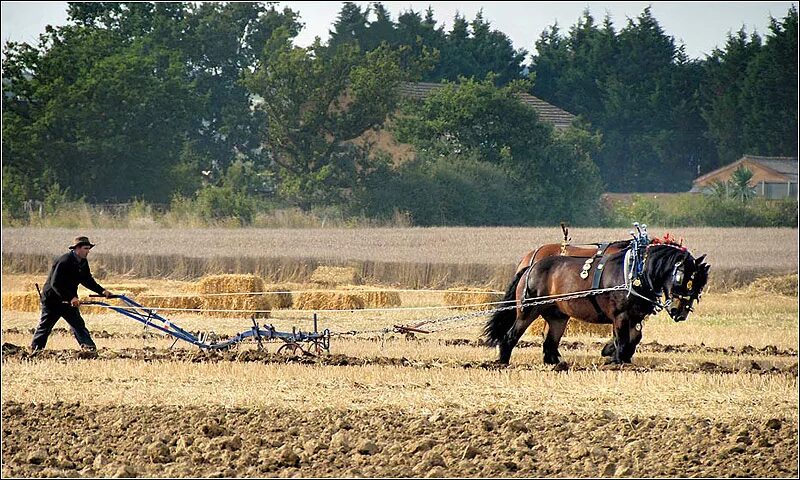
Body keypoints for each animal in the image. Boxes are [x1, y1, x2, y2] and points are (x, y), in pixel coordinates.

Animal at [484, 244, 708, 368]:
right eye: (683, 278)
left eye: (699, 286)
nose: (680, 313)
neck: (635, 273)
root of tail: (530, 267)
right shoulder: (621, 315)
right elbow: (623, 339)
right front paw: (617, 360)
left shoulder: (635, 317)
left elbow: (634, 338)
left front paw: (612, 354)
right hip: (527, 310)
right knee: (510, 336)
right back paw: (502, 362)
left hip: (558, 317)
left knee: (550, 344)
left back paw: (557, 364)